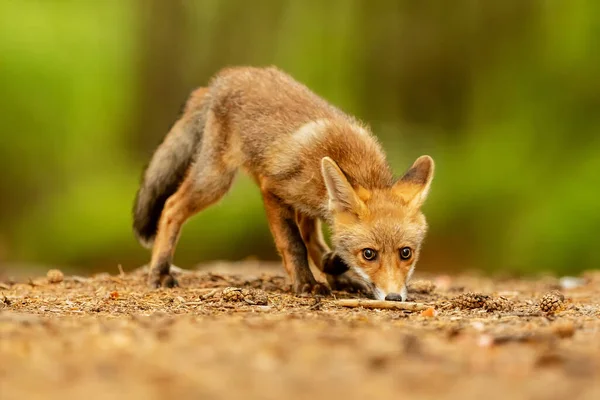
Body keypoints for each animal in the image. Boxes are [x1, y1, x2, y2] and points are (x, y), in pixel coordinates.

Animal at [134, 67, 434, 302]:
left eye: (406, 253)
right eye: (369, 254)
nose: (394, 298)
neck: (355, 164)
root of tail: (222, 78)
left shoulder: (308, 202)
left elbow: (318, 242)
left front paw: (333, 266)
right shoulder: (274, 190)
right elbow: (294, 244)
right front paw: (307, 284)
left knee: (313, 237)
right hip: (214, 181)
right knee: (171, 207)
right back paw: (159, 271)